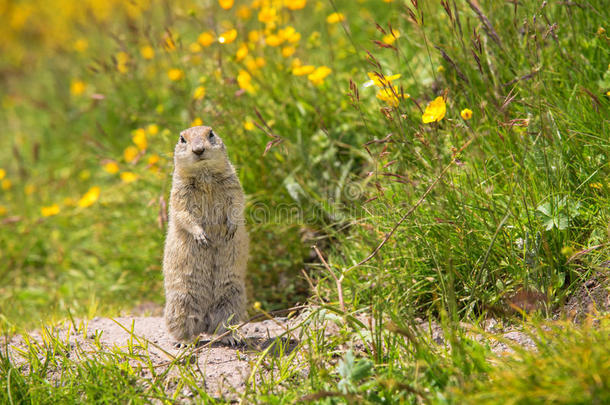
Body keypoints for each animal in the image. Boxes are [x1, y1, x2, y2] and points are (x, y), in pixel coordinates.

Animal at [163, 125, 248, 344]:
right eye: (182, 139)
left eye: (211, 133)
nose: (198, 150)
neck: (204, 174)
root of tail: (205, 324)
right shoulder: (179, 192)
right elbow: (183, 213)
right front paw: (201, 236)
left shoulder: (232, 183)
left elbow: (237, 202)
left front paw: (231, 228)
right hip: (180, 303)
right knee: (183, 327)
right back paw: (184, 342)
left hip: (233, 299)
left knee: (223, 325)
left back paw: (231, 337)